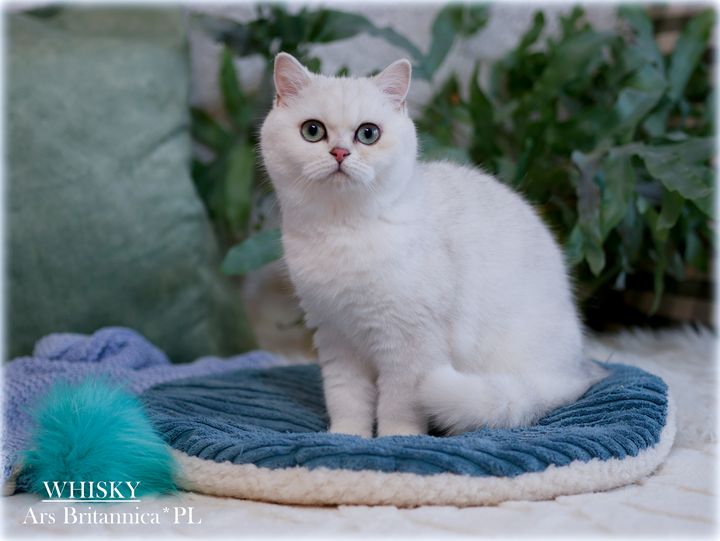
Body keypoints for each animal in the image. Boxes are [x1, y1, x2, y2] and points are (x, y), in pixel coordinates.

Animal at [259, 52, 605, 437]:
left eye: (368, 133)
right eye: (312, 131)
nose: (339, 153)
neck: (343, 230)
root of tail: (570, 375)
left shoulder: (411, 345)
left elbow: (398, 403)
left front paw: (398, 439)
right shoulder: (336, 339)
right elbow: (346, 398)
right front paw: (347, 437)